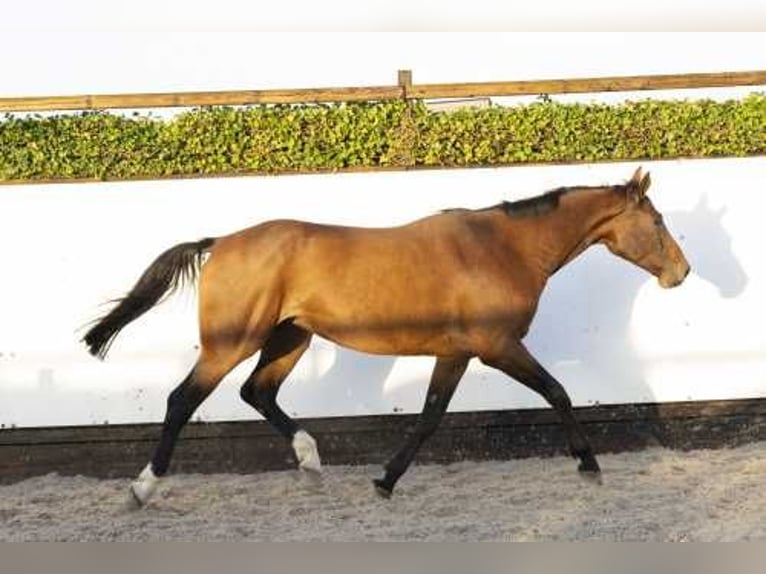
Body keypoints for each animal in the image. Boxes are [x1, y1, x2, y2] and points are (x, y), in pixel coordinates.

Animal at [82, 164, 688, 506]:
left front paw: (385, 481)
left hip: (289, 339)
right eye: (657, 222)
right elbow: (558, 392)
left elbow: (428, 418)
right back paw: (142, 488)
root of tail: (221, 242)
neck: (502, 248)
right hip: (232, 342)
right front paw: (590, 466)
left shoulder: (457, 353)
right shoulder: (497, 347)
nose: (681, 273)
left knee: (258, 393)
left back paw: (310, 460)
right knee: (182, 400)